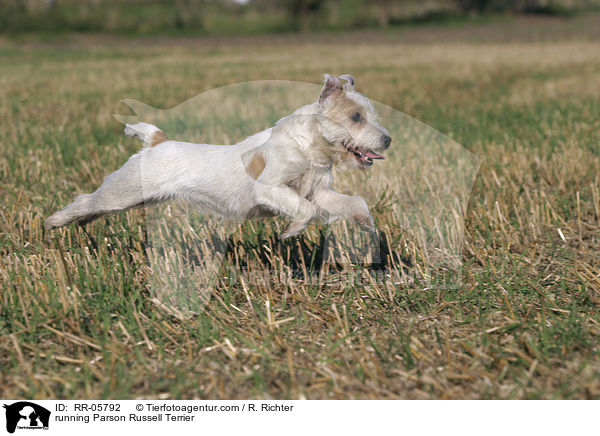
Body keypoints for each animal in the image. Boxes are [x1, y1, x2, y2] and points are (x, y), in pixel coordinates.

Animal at [48, 75, 394, 238]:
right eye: (355, 117)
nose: (388, 140)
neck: (311, 147)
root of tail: (157, 141)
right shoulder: (272, 188)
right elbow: (304, 210)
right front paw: (291, 231)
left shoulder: (320, 192)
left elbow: (354, 203)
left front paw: (367, 226)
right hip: (123, 191)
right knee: (85, 200)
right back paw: (54, 222)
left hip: (134, 198)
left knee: (92, 209)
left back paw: (80, 222)